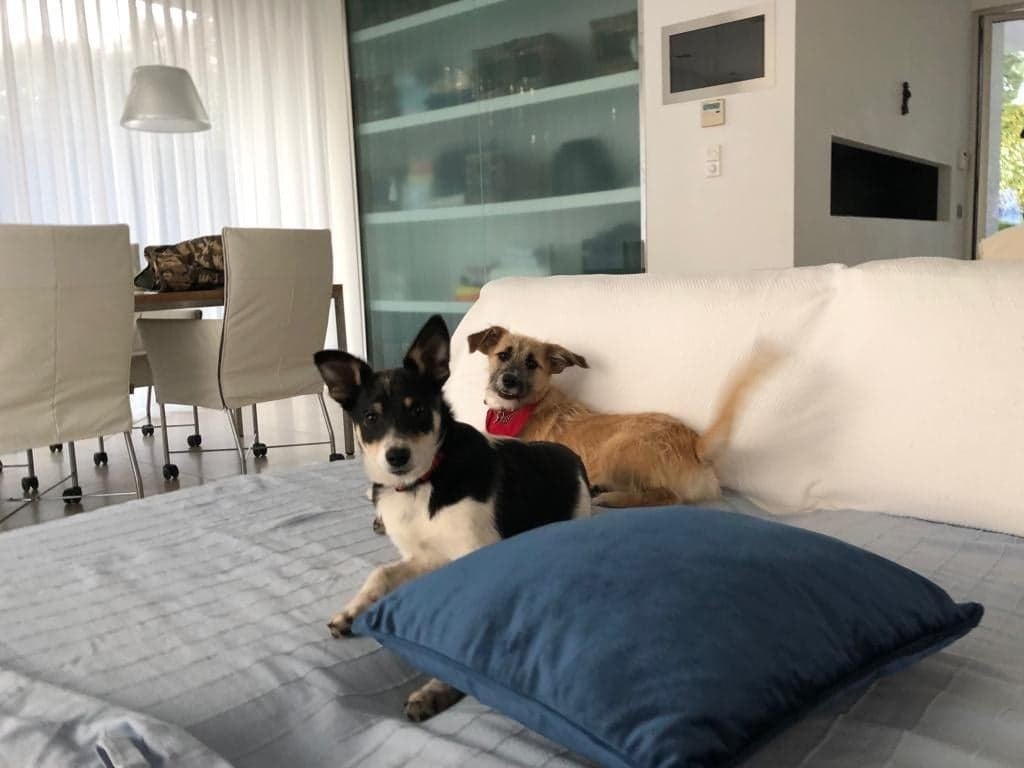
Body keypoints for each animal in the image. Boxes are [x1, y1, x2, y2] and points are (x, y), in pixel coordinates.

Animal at [314, 315, 591, 722]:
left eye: (417, 411)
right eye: (370, 418)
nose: (396, 457)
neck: (423, 483)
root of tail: (572, 459)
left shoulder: (473, 557)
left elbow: (463, 639)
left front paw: (437, 689)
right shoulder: (427, 556)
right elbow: (381, 573)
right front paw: (351, 611)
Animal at [468, 326, 779, 507]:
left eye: (532, 364)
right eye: (503, 355)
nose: (508, 380)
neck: (516, 411)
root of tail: (695, 443)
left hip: (617, 448)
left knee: (667, 495)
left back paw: (609, 497)